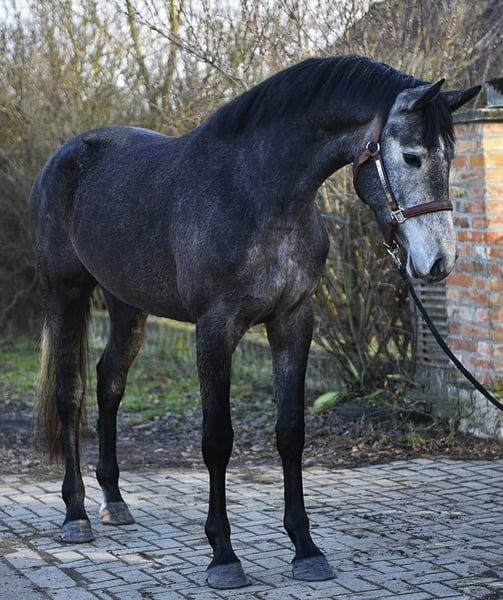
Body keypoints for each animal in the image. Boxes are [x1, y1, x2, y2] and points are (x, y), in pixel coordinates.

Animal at [31, 55, 480, 589]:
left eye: (449, 158)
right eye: (412, 157)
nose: (440, 262)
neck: (258, 193)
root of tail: (64, 157)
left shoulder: (293, 320)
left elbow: (290, 432)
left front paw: (305, 548)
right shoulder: (215, 329)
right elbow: (217, 440)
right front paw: (224, 555)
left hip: (126, 304)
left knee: (109, 384)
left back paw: (114, 501)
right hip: (67, 294)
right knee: (71, 393)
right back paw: (75, 514)